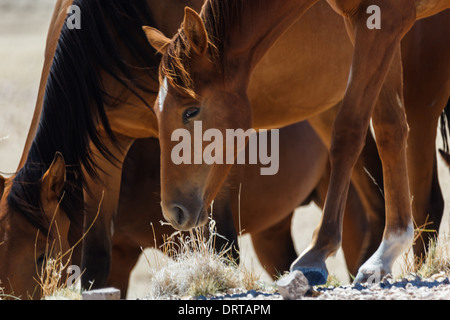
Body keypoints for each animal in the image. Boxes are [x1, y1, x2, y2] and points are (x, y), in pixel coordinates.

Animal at [145, 0, 450, 284]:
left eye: (191, 111)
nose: (173, 211)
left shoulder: (384, 19)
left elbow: (348, 130)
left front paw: (318, 252)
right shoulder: (372, 26)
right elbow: (391, 128)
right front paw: (385, 253)